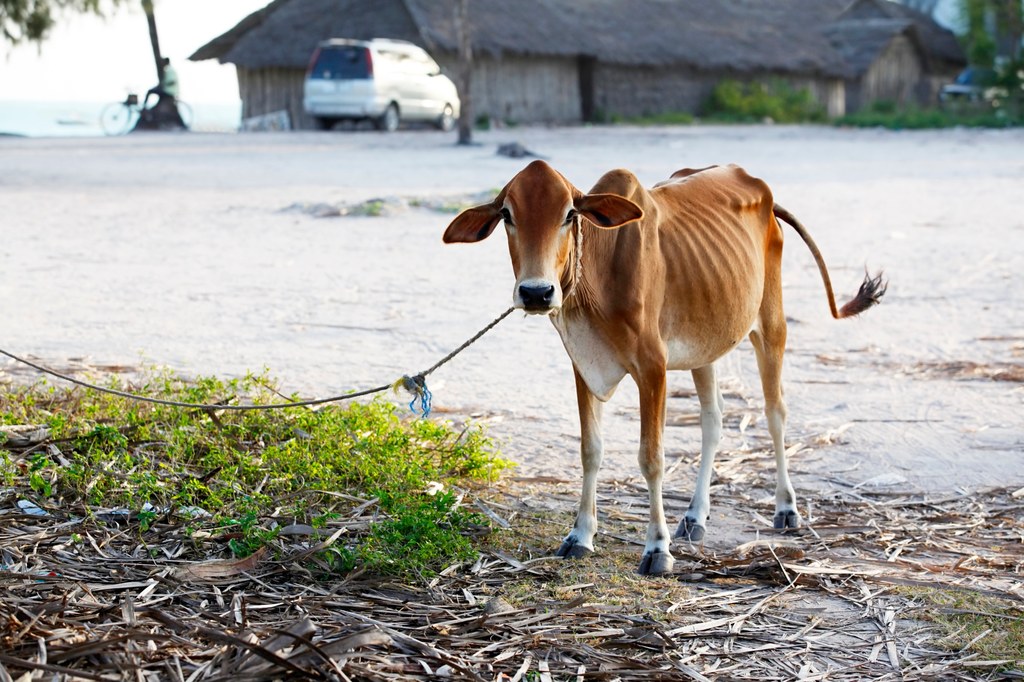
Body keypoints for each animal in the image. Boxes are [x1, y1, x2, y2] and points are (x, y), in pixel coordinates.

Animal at [444, 160, 884, 573]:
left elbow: (651, 459)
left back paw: (785, 508)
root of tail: (761, 189)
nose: (537, 292)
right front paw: (580, 535)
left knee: (775, 413)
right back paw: (695, 516)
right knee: (713, 420)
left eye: (569, 214)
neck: (601, 273)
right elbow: (591, 451)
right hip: (705, 342)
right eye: (507, 214)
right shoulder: (584, 366)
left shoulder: (652, 368)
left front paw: (657, 549)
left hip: (770, 322)